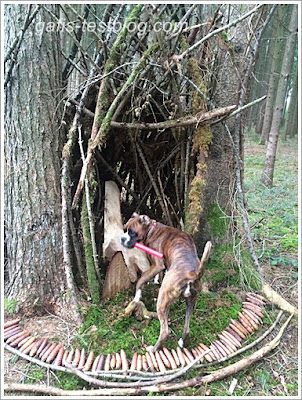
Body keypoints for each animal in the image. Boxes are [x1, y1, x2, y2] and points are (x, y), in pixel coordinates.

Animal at [121, 212, 212, 354]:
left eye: (132, 232)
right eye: (124, 230)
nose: (122, 239)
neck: (153, 229)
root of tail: (192, 274)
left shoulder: (157, 265)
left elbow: (141, 280)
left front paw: (136, 297)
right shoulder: (161, 267)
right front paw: (156, 281)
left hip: (163, 300)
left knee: (164, 331)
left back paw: (153, 349)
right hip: (191, 301)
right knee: (187, 327)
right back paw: (182, 342)